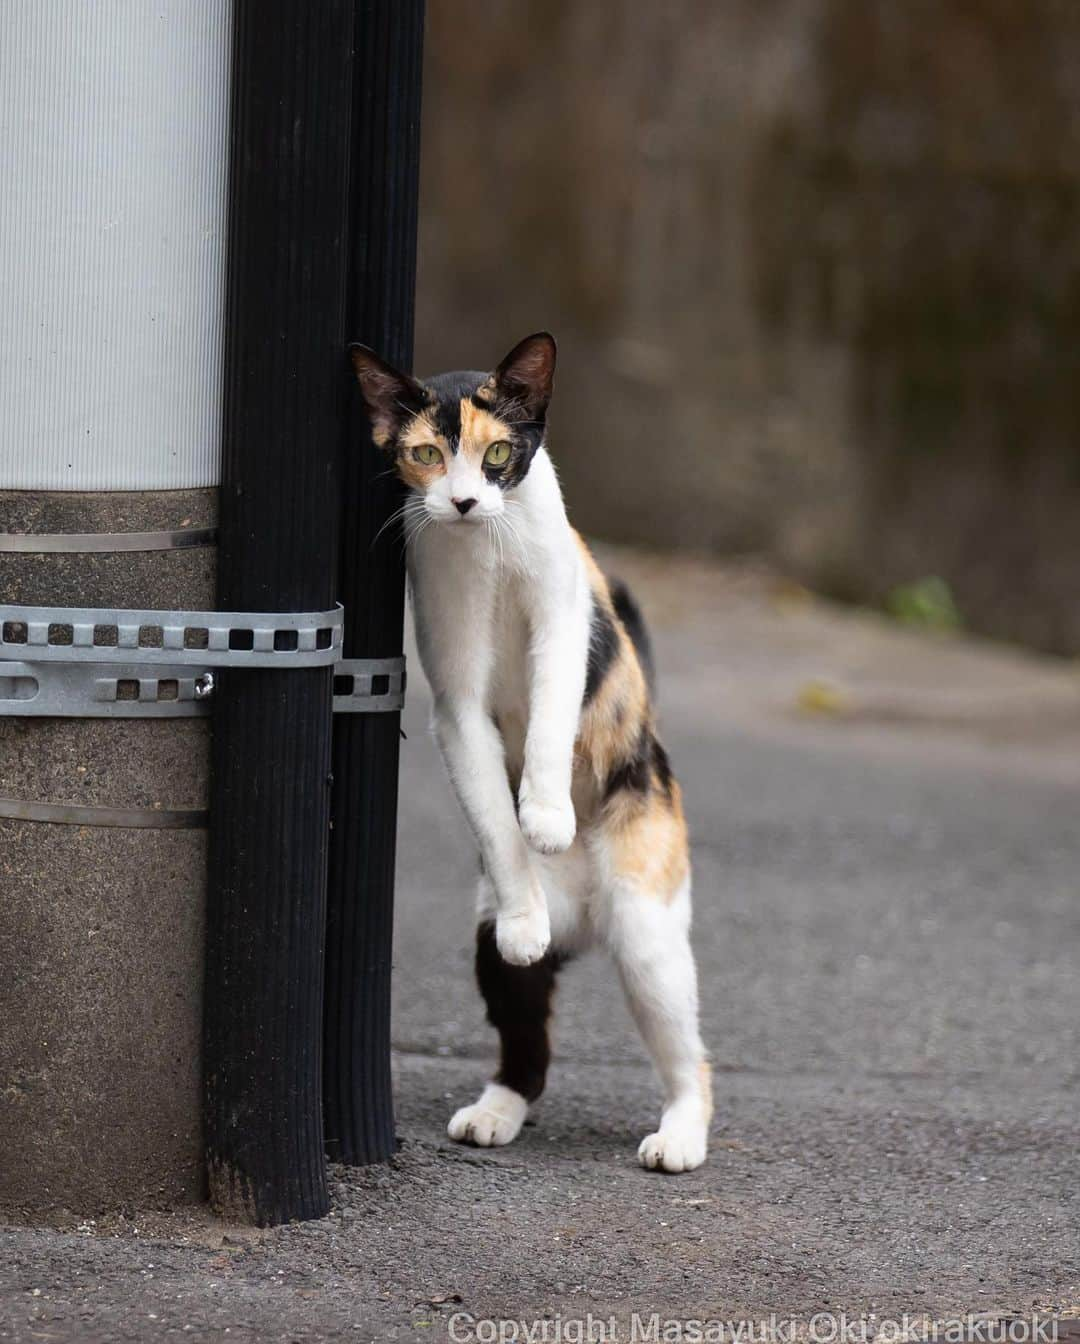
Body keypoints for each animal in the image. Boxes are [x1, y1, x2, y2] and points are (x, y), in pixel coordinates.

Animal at [349, 333, 714, 1166]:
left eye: (497, 454)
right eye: (425, 453)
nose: (462, 502)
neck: (488, 545)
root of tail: (584, 915)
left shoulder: (563, 625)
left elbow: (549, 719)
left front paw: (546, 815)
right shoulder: (456, 700)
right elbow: (491, 810)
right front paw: (525, 880)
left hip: (646, 921)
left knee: (690, 1054)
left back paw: (679, 1134)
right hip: (488, 942)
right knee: (527, 1038)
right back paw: (497, 1108)